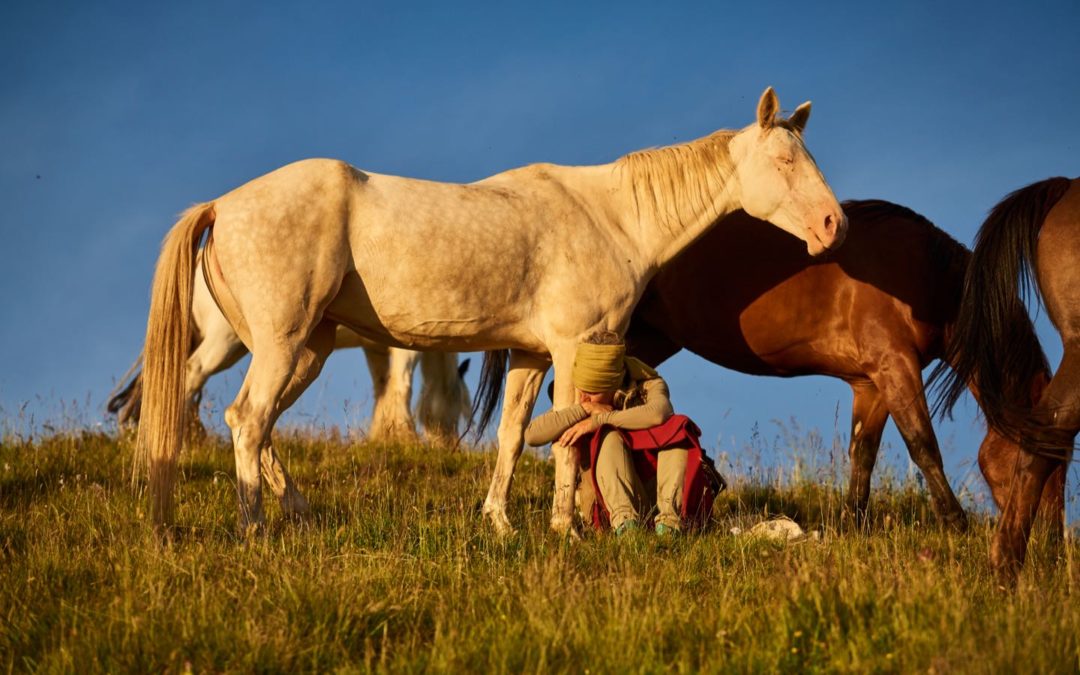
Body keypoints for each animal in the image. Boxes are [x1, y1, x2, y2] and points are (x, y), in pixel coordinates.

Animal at [107, 252, 470, 442]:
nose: (449, 445)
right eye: (459, 412)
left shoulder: (376, 349)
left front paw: (383, 435)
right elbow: (402, 385)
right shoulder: (405, 350)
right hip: (226, 344)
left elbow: (384, 386)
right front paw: (403, 436)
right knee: (193, 372)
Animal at [626, 198, 1062, 527]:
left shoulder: (874, 383)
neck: (924, 276)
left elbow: (863, 453)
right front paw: (956, 523)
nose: (1051, 539)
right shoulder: (896, 367)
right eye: (1046, 463)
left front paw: (854, 523)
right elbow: (923, 445)